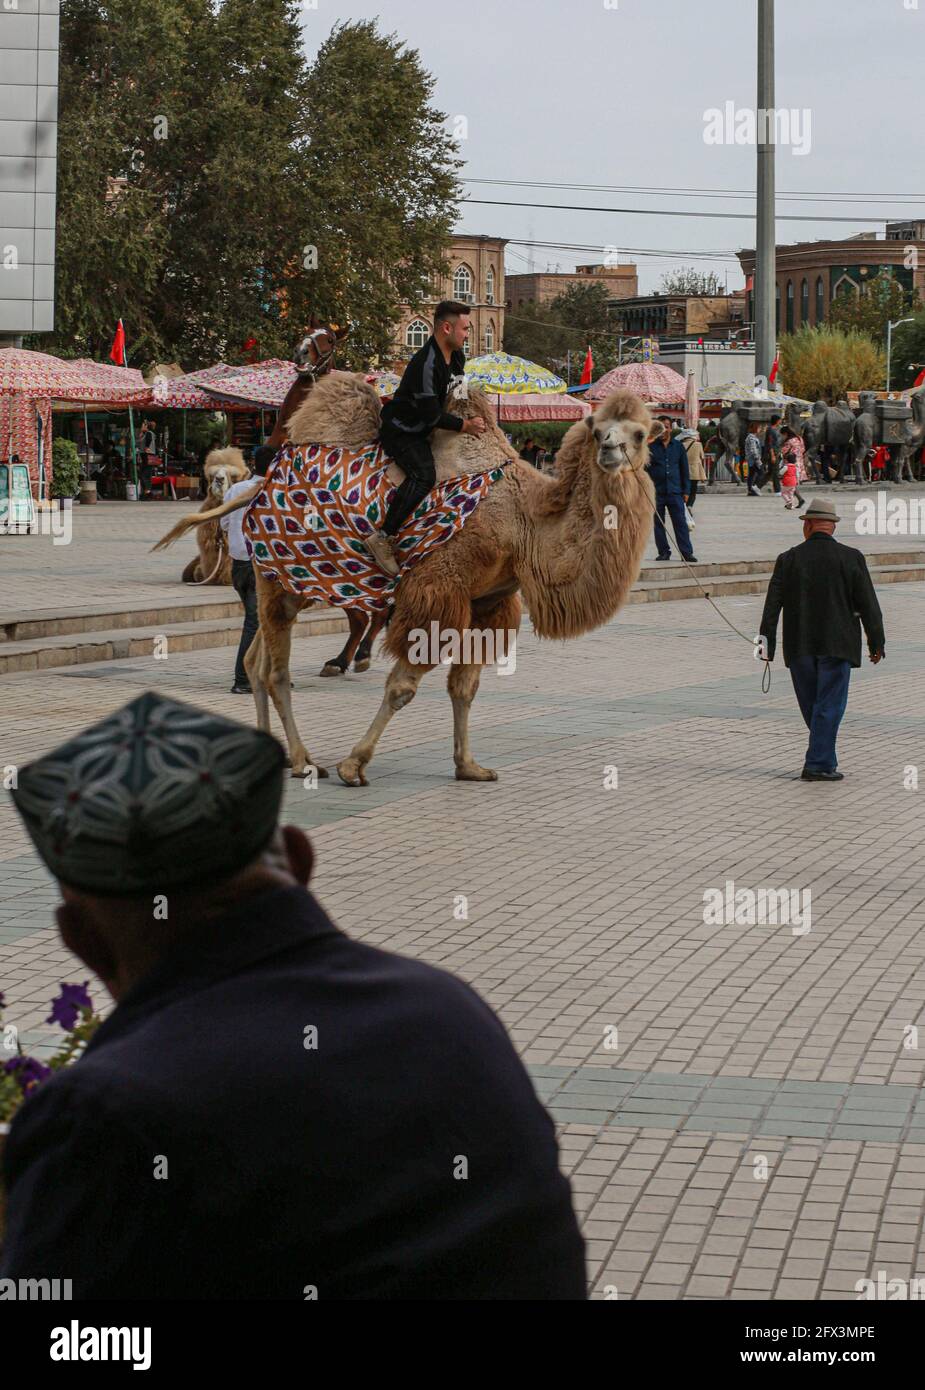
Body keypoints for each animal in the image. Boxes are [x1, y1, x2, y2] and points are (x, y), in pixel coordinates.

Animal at [157, 375, 656, 783]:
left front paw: (469, 766)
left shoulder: (488, 604)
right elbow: (402, 688)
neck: (522, 523)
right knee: (274, 670)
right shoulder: (438, 592)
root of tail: (260, 485)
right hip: (277, 576)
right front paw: (354, 765)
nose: (611, 450)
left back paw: (277, 755)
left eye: (640, 432)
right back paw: (302, 761)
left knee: (254, 660)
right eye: (598, 431)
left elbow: (465, 688)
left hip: (295, 582)